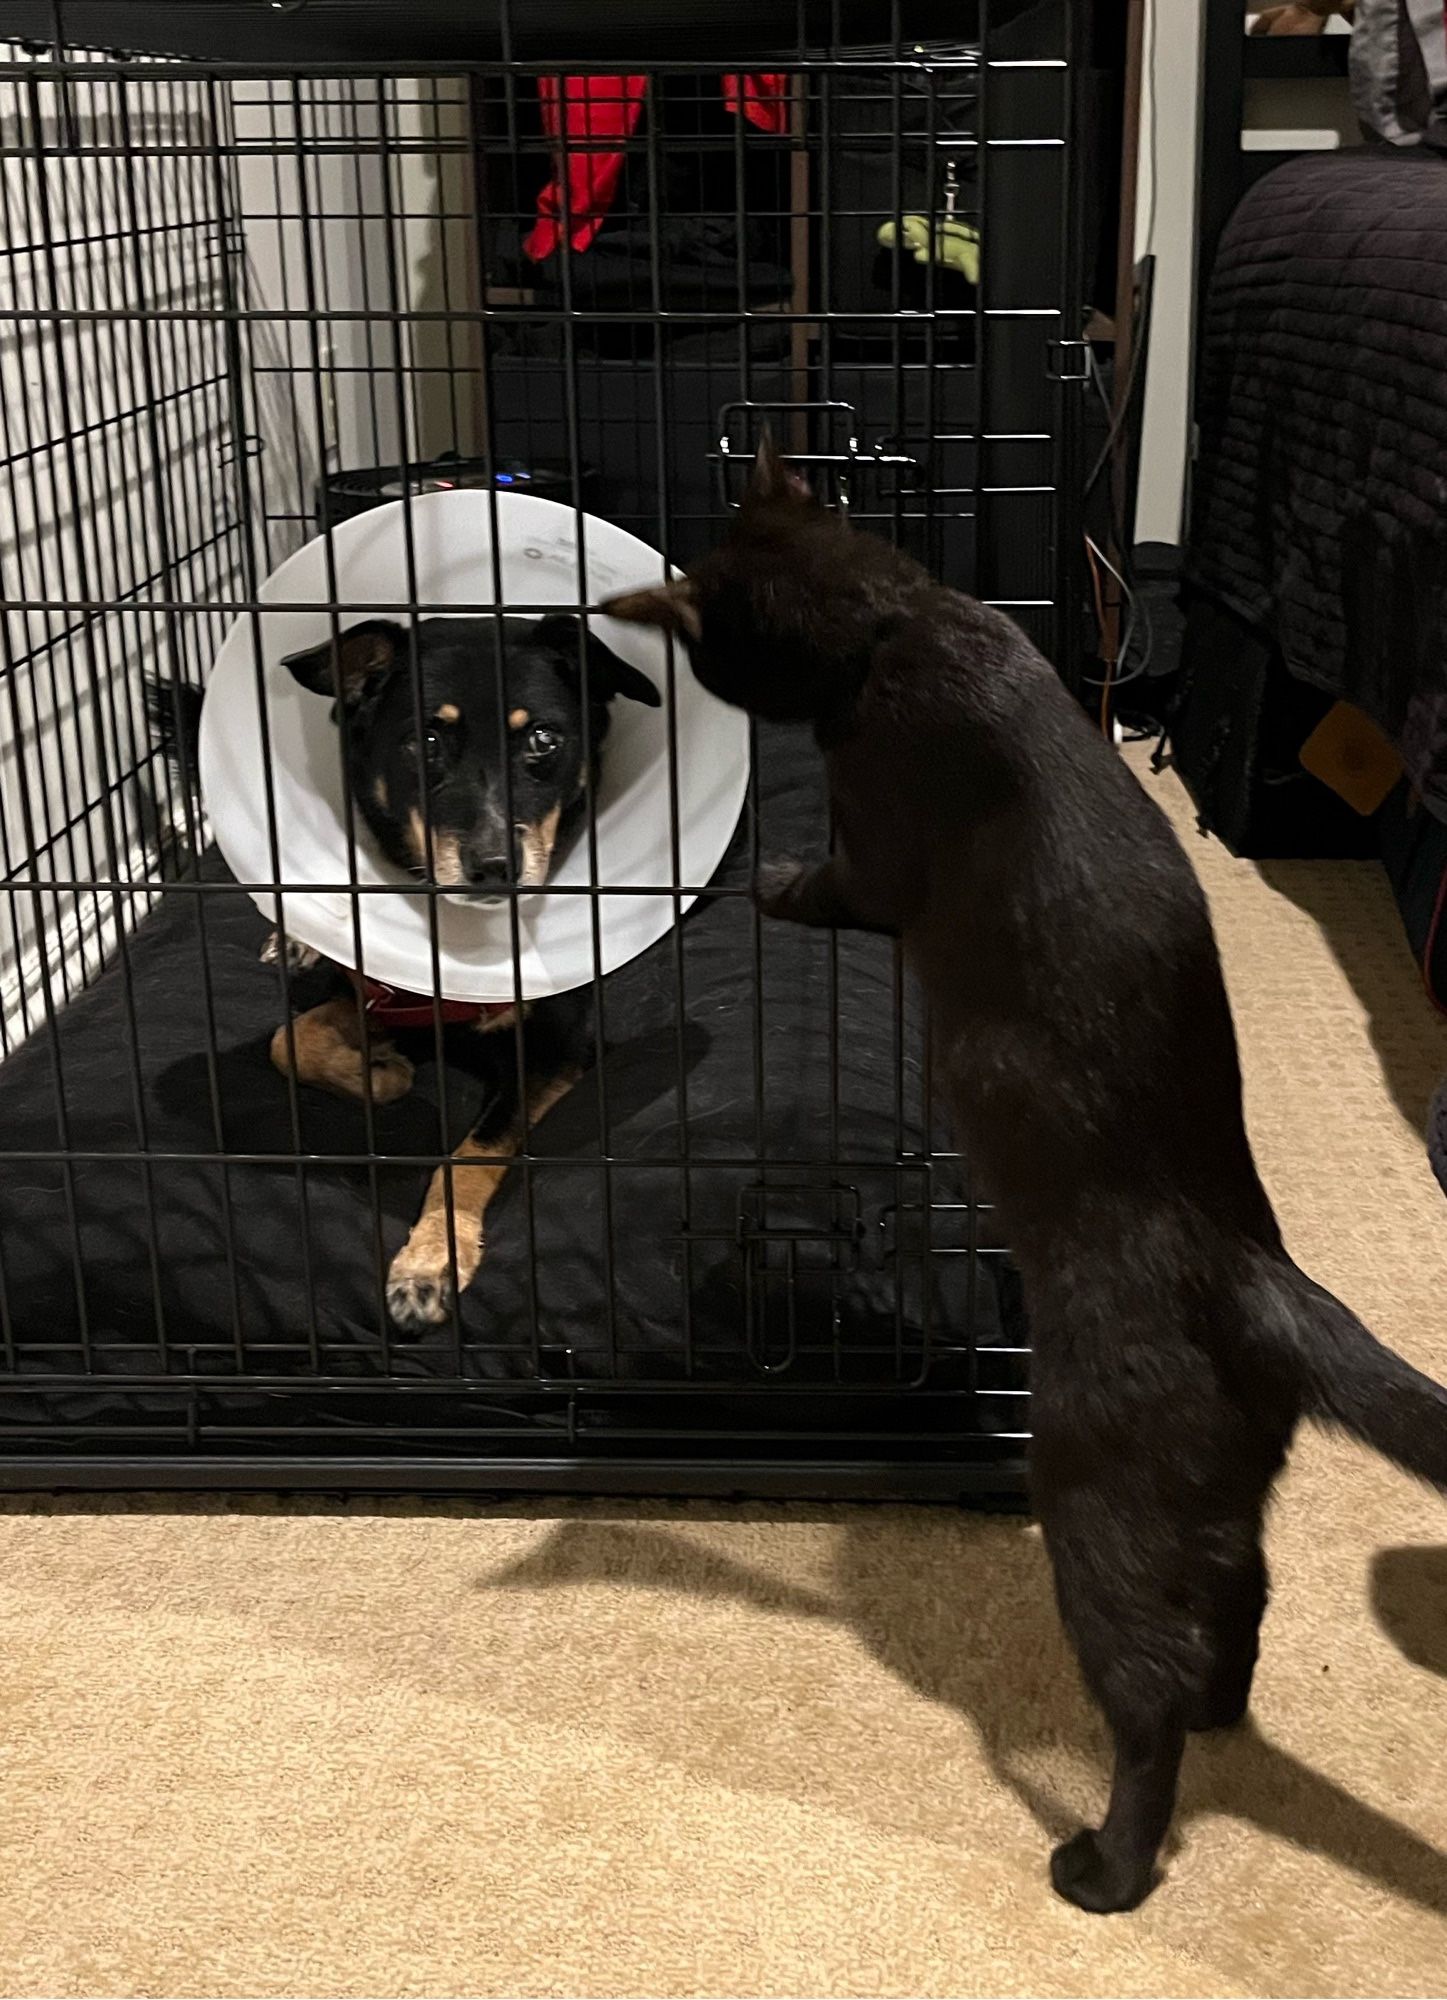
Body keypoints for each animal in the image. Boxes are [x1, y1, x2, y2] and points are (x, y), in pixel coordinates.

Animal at [153, 608, 659, 1328]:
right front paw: (380, 1071)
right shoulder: (382, 992)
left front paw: (432, 1259)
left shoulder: (556, 1047)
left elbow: (470, 1154)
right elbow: (291, 1040)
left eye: (541, 737)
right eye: (425, 740)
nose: (494, 868)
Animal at [599, 442, 1447, 1920]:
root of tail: (1262, 1279)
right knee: (1241, 1606)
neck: (898, 621)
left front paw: (767, 879)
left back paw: (1105, 1863)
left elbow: (833, 879)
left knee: (1146, 1692)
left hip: (1097, 1497)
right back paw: (1225, 1716)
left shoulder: (875, 847)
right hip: (1220, 1504)